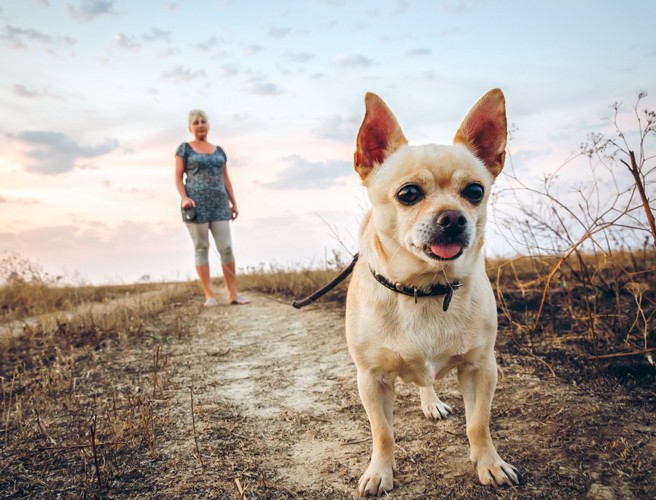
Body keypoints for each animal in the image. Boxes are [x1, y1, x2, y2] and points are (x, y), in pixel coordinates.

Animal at [346, 90, 520, 496]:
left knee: (427, 382)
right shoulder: (372, 380)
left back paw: (432, 402)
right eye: (409, 194)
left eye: (475, 191)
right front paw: (380, 471)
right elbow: (382, 433)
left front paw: (489, 464)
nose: (453, 217)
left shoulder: (481, 369)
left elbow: (478, 424)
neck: (424, 289)